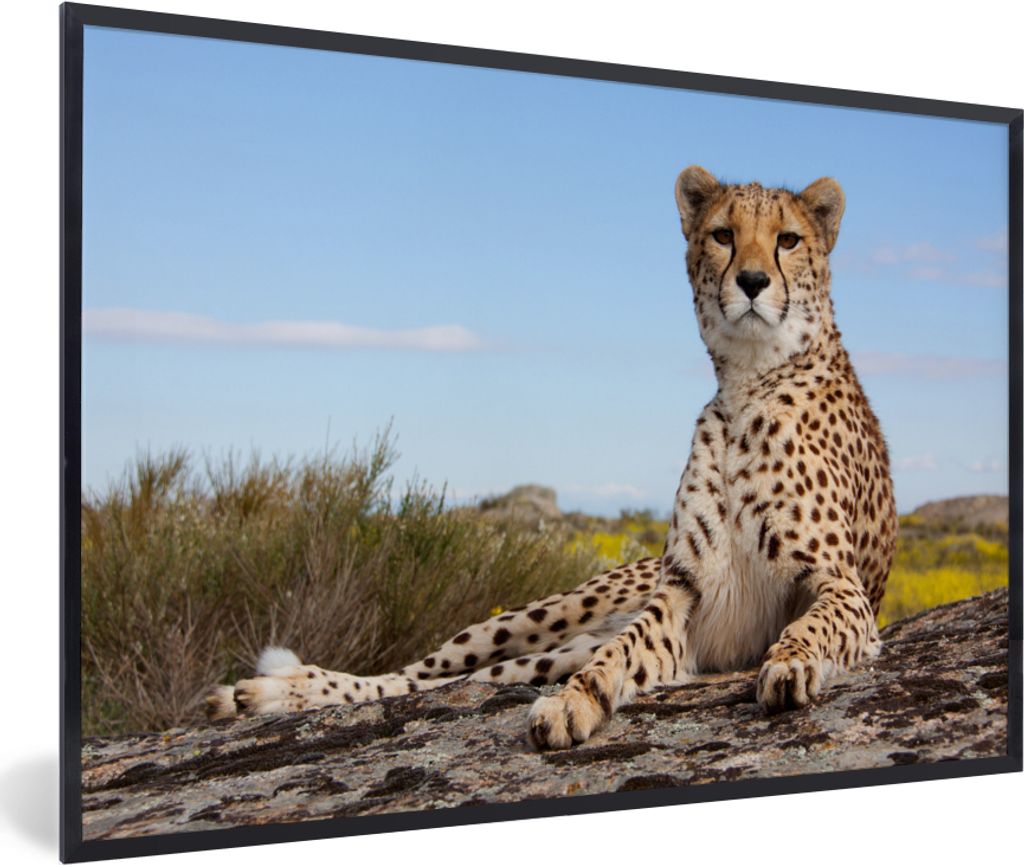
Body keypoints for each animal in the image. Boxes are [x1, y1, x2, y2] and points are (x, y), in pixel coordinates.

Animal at [206, 165, 898, 750]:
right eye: (724, 235)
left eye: (787, 241)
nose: (752, 282)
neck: (749, 382)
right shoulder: (680, 597)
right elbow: (620, 655)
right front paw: (573, 702)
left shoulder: (840, 587)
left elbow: (810, 625)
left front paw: (791, 662)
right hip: (541, 616)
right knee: (417, 675)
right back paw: (272, 691)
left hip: (551, 644)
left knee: (461, 681)